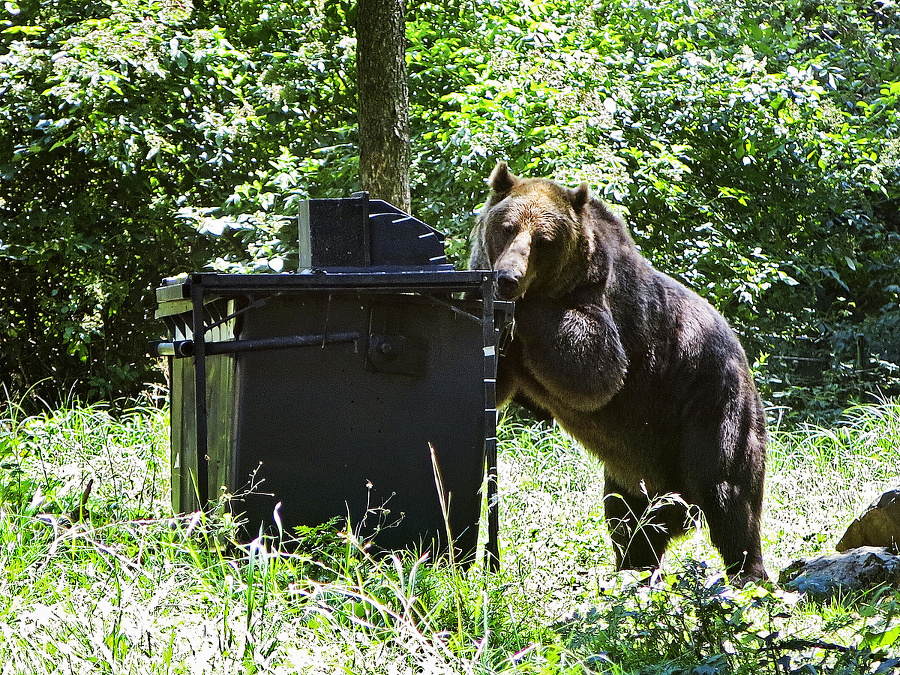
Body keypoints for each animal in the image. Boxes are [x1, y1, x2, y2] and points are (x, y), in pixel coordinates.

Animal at [468, 161, 768, 584]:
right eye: (507, 227)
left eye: (544, 240)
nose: (508, 277)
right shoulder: (507, 353)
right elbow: (488, 383)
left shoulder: (607, 308)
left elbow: (594, 368)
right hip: (635, 468)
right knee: (628, 520)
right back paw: (635, 570)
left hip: (708, 404)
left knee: (728, 492)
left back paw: (748, 574)